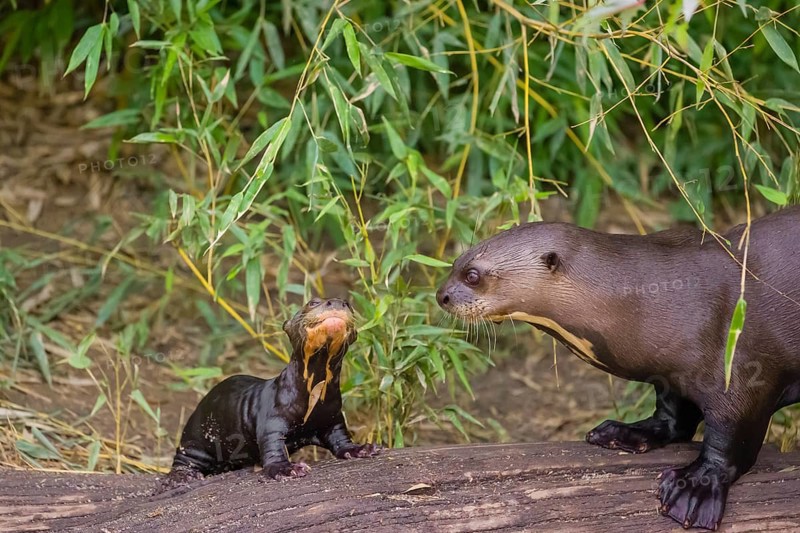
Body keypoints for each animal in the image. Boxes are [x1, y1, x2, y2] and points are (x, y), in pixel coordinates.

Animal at [160, 297, 379, 490]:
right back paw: (181, 477)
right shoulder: (272, 418)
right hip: (195, 435)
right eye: (312, 302)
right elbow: (272, 445)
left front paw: (360, 449)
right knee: (183, 458)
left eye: (349, 304)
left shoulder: (333, 416)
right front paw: (286, 469)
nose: (338, 302)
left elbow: (341, 437)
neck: (310, 399)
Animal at [437, 206, 800, 530]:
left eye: (473, 275)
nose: (441, 295)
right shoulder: (670, 373)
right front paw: (627, 432)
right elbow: (673, 415)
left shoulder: (741, 365)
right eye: (455, 263)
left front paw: (696, 487)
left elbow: (733, 436)